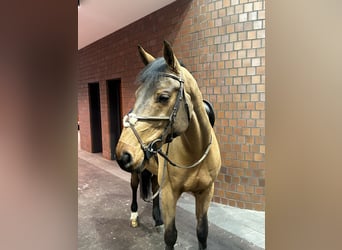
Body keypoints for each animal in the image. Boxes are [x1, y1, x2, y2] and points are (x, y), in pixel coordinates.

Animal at [115, 41, 222, 250]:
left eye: (163, 97)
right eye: (137, 94)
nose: (123, 154)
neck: (194, 151)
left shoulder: (205, 192)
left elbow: (202, 232)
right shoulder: (169, 193)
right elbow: (171, 236)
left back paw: (157, 220)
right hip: (136, 172)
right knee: (134, 187)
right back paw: (134, 216)